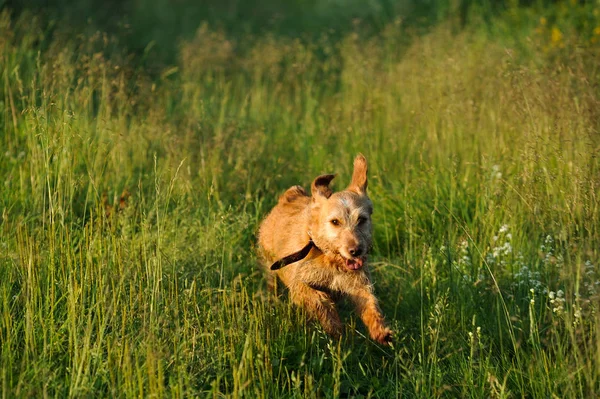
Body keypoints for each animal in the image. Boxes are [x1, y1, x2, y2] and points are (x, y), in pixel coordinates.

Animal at [258, 155, 394, 346]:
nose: (356, 250)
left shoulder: (358, 284)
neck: (328, 257)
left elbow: (369, 303)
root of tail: (289, 195)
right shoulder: (299, 284)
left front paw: (380, 331)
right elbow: (318, 298)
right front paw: (334, 326)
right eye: (335, 222)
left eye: (361, 219)